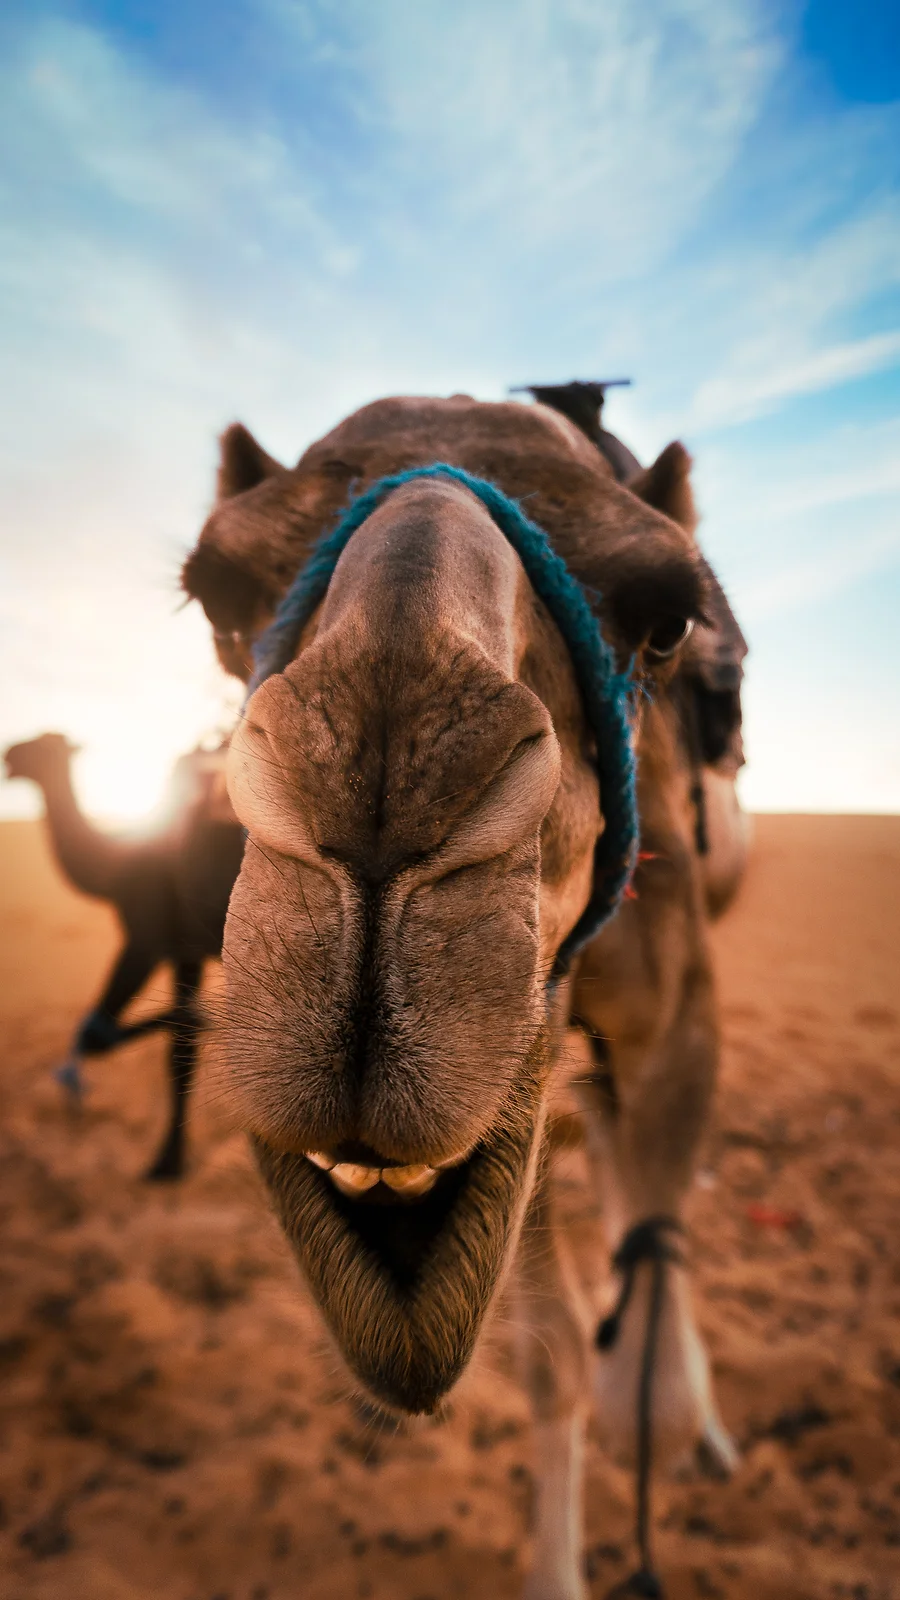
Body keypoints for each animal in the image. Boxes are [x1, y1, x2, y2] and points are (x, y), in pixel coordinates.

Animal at [4, 734, 245, 1180]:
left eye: (42, 746)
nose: (9, 754)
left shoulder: (144, 937)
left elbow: (101, 1036)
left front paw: (165, 1163)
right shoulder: (184, 949)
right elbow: (180, 1049)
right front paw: (170, 1160)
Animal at [182, 392, 748, 1597]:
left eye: (668, 620)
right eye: (214, 597)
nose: (382, 777)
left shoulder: (676, 1001)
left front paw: (673, 1421)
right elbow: (553, 1359)